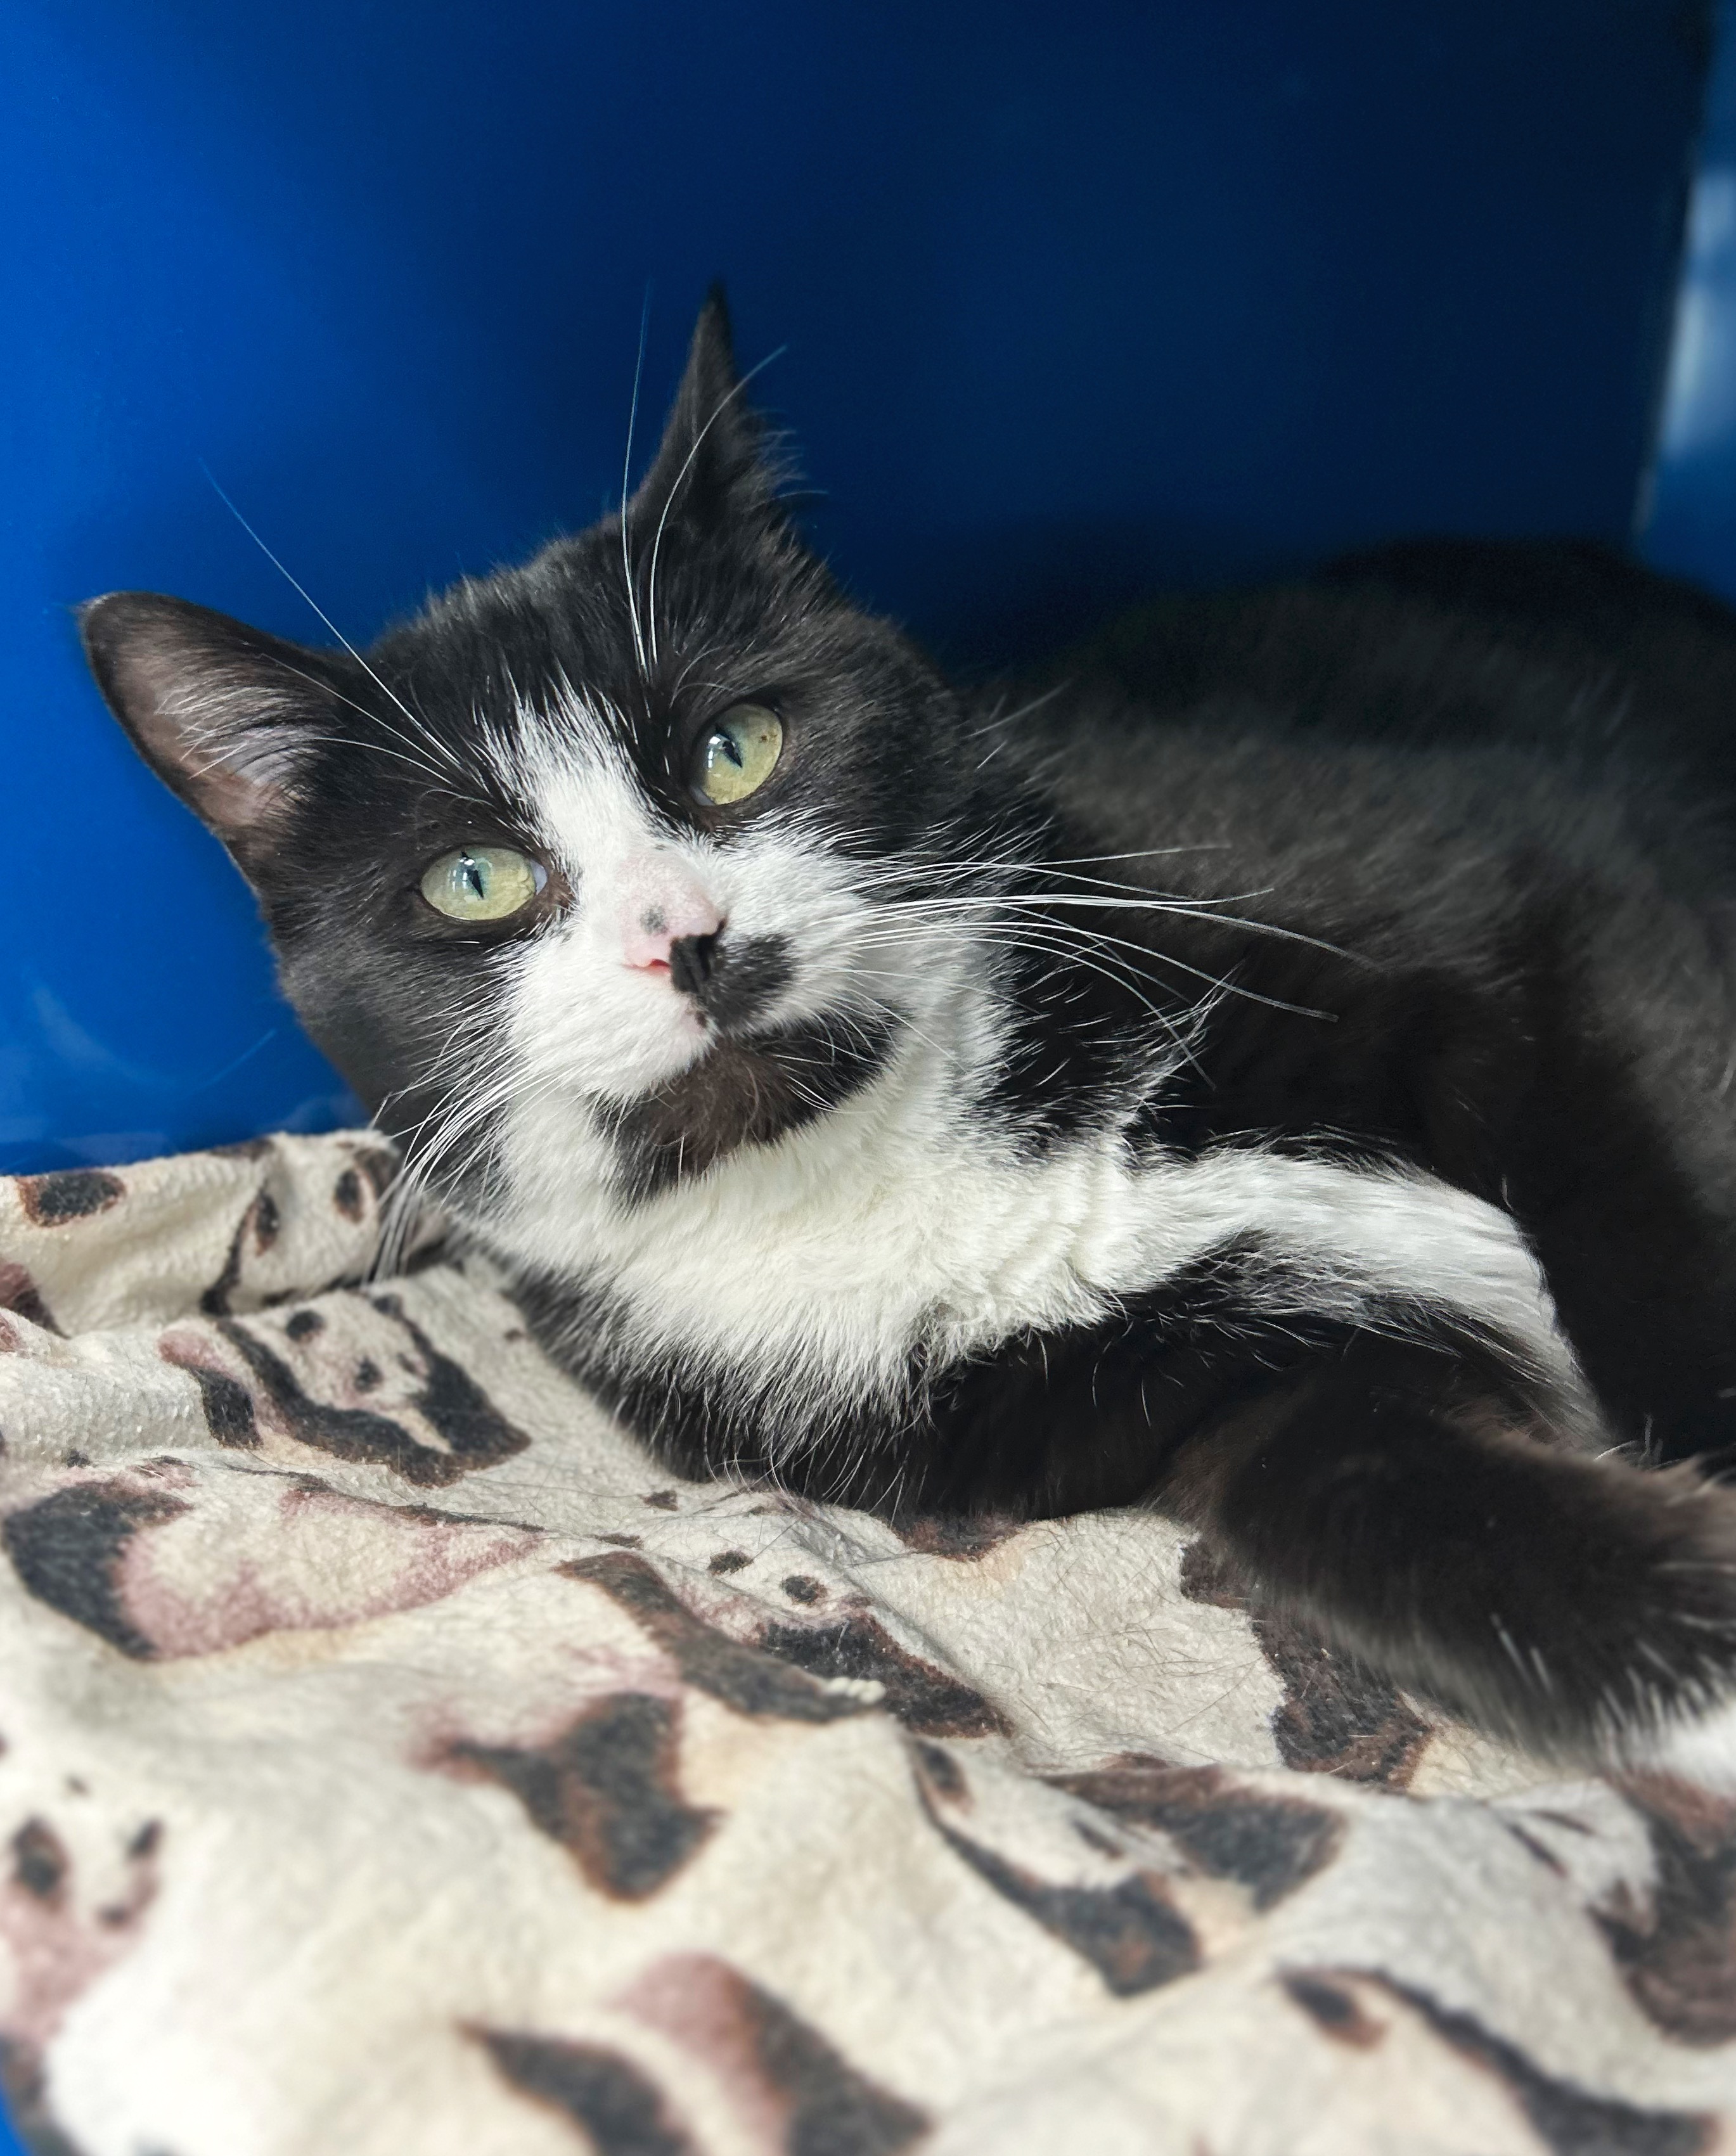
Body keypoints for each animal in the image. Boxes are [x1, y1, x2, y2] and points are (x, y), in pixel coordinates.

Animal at [80, 289, 1736, 1780]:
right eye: (474, 881)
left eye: (735, 749)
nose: (687, 934)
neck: (879, 1143)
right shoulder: (1188, 1395)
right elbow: (1366, 1501)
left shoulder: (1542, 888)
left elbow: (1648, 1198)